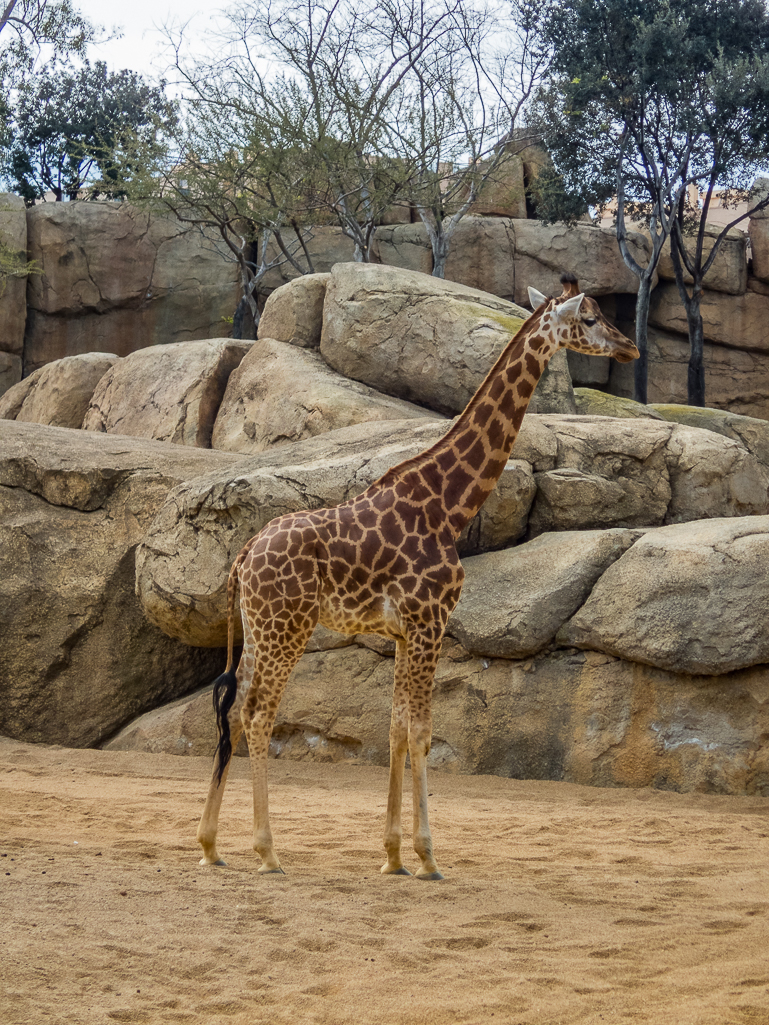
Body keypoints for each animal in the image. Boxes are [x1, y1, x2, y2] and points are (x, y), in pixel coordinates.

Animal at [195, 274, 639, 881]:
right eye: (590, 318)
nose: (629, 347)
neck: (448, 506)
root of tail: (241, 559)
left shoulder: (405, 632)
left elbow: (397, 731)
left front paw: (392, 857)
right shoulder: (431, 622)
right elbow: (424, 734)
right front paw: (428, 857)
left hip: (259, 631)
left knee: (233, 710)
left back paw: (211, 846)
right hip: (288, 629)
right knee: (259, 714)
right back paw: (267, 852)